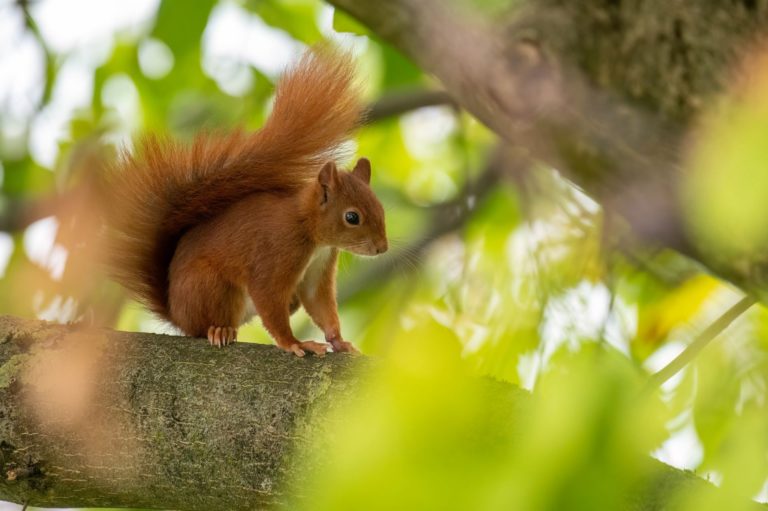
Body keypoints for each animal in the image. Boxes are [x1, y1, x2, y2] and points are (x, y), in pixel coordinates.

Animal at [105, 50, 388, 358]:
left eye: (381, 209)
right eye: (352, 217)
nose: (382, 248)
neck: (309, 230)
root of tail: (176, 313)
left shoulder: (320, 265)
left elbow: (320, 304)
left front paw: (339, 341)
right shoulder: (276, 252)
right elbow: (269, 298)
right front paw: (295, 343)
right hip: (213, 288)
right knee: (203, 326)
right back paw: (219, 330)